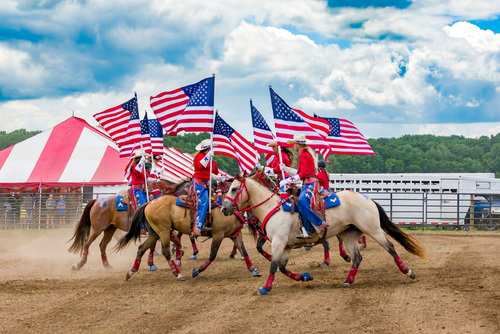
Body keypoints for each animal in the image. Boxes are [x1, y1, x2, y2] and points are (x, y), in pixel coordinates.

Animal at [221, 172, 428, 294]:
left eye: (234, 189)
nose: (224, 208)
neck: (273, 208)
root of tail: (367, 198)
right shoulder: (286, 245)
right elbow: (282, 267)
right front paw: (305, 277)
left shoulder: (279, 242)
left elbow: (273, 266)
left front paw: (265, 287)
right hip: (349, 235)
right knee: (357, 257)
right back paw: (348, 280)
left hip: (373, 230)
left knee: (391, 247)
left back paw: (408, 271)